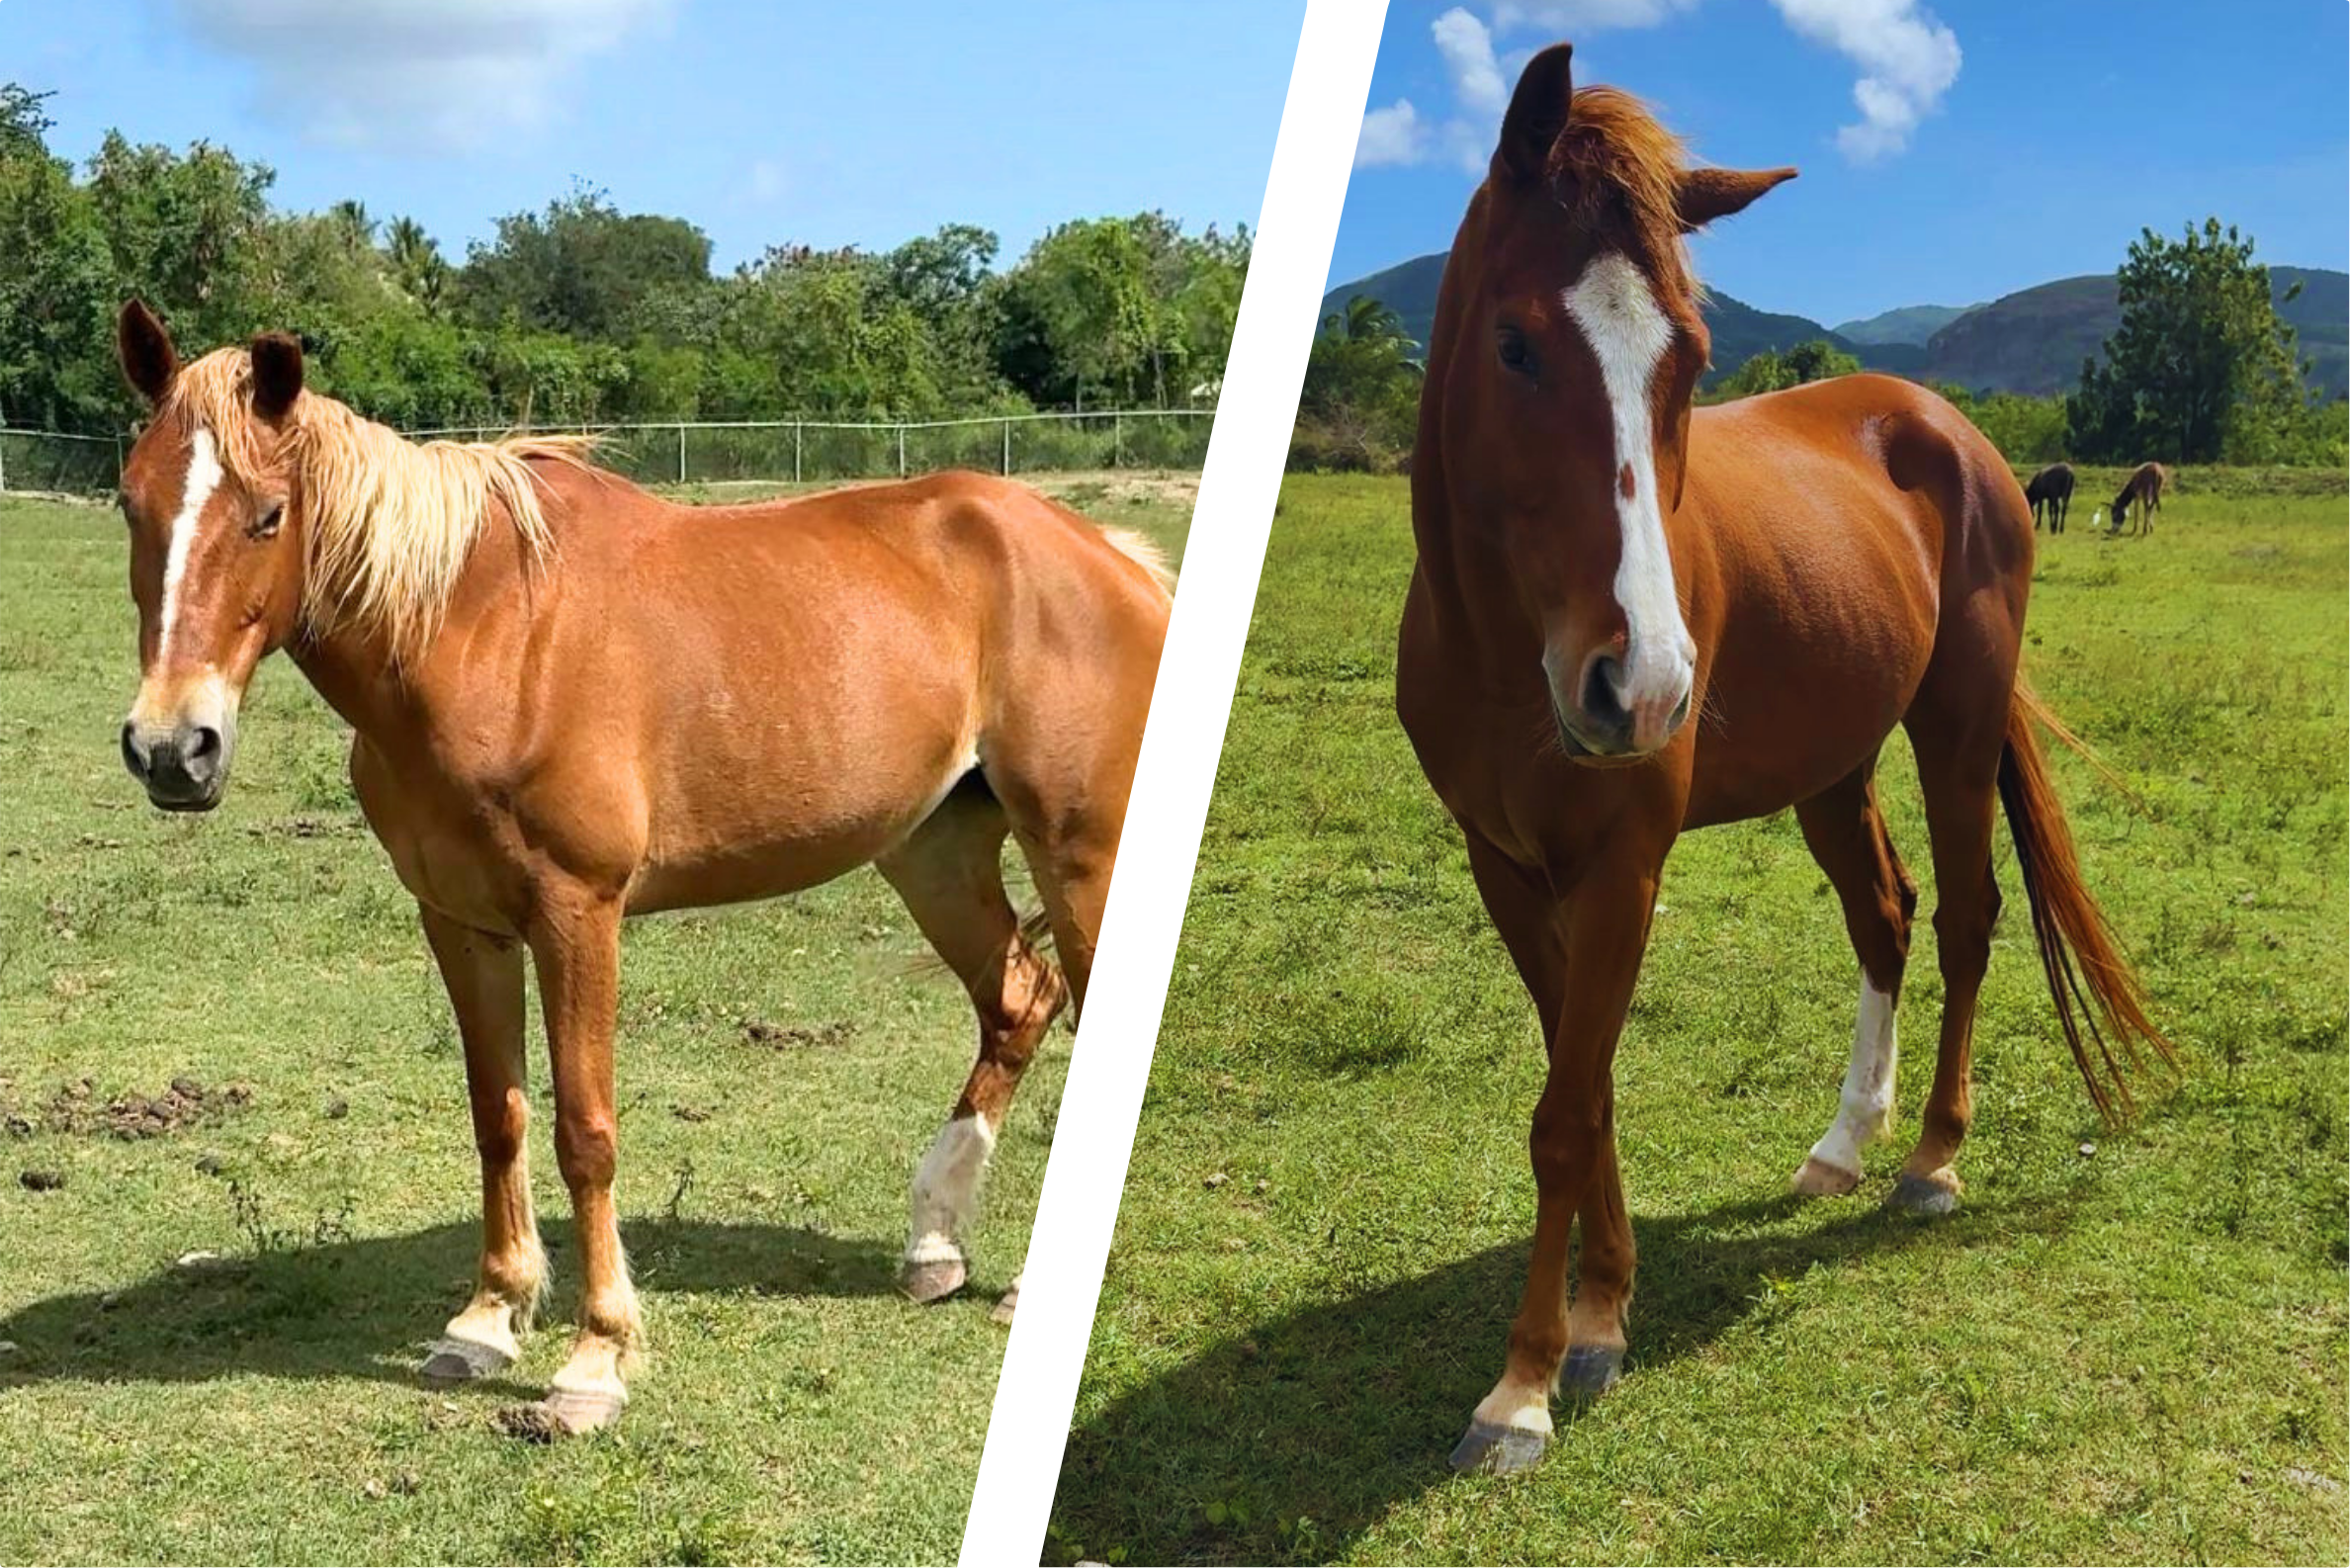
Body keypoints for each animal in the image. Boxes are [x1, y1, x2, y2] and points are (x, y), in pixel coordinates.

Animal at [109, 300, 1171, 1435]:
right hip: (931, 849)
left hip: (1080, 854)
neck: (485, 635)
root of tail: (1109, 556)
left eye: (268, 514)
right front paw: (486, 1319)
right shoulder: (462, 921)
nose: (173, 748)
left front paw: (593, 1358)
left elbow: (585, 1130)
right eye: (131, 503)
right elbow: (498, 1115)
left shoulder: (579, 914)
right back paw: (933, 1244)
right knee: (1018, 1000)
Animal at [1393, 47, 2171, 1476]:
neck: (1502, 651)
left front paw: (1524, 1382)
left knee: (1965, 914)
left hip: (1952, 727)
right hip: (1831, 768)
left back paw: (1929, 1158)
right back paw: (1843, 1143)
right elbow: (1584, 1094)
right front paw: (1601, 1310)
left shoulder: (1624, 868)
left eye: (1690, 360)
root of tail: (1939, 423)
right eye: (1515, 344)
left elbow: (1564, 1113)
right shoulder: (1504, 867)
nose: (1641, 683)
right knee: (1888, 915)